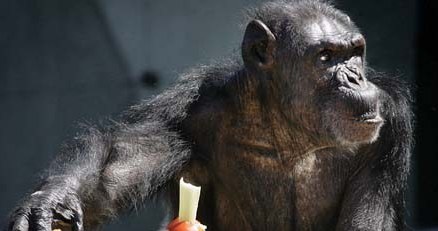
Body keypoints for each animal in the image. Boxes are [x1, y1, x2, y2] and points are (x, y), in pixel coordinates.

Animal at [6, 0, 412, 231]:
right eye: (326, 57)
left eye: (354, 53)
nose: (355, 78)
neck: (288, 127)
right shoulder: (184, 116)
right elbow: (113, 170)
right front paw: (53, 200)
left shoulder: (388, 127)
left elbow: (365, 220)